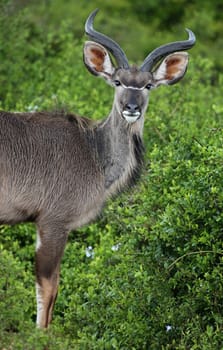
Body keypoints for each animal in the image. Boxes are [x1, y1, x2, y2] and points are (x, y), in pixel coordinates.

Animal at [0, 8, 195, 328]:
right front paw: (41, 334)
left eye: (148, 85)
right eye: (117, 82)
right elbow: (48, 288)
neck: (94, 150)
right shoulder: (53, 222)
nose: (131, 108)